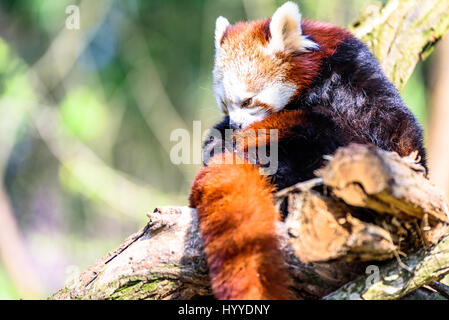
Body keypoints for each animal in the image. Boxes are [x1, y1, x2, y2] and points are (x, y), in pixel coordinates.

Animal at [188, 1, 424, 300]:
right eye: (224, 104)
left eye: (248, 100)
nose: (236, 125)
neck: (319, 68)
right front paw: (220, 137)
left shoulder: (352, 83)